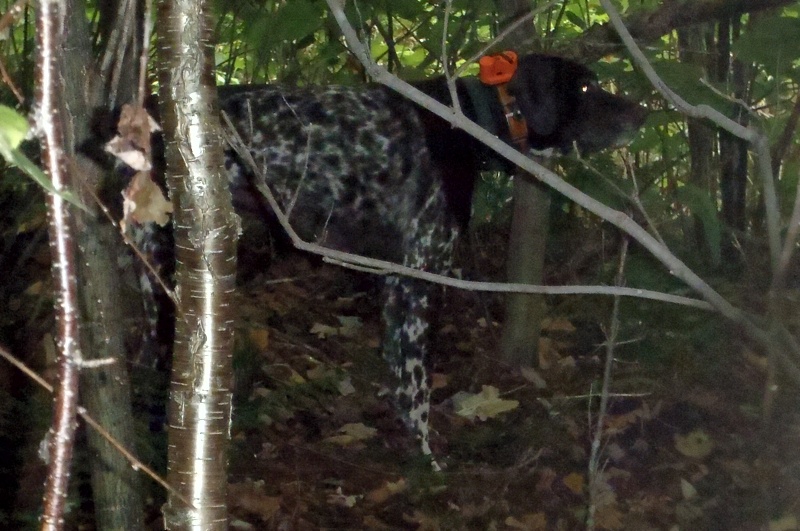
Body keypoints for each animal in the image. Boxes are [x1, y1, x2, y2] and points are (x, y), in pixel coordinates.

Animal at [142, 52, 644, 464]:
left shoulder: (395, 280)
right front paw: (427, 458)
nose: (644, 112)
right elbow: (417, 385)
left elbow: (400, 376)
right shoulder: (419, 273)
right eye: (586, 88)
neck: (469, 119)